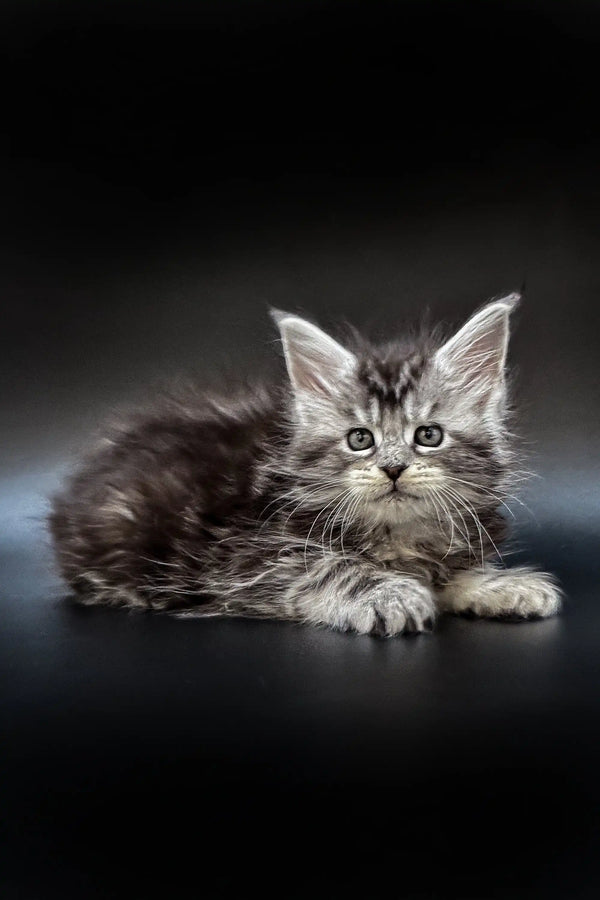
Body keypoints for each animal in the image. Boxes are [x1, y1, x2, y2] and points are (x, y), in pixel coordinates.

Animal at [50, 294, 564, 632]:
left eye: (428, 436)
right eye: (360, 439)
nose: (393, 468)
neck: (396, 533)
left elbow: (449, 572)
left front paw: (499, 586)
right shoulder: (241, 557)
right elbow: (325, 567)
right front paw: (389, 592)